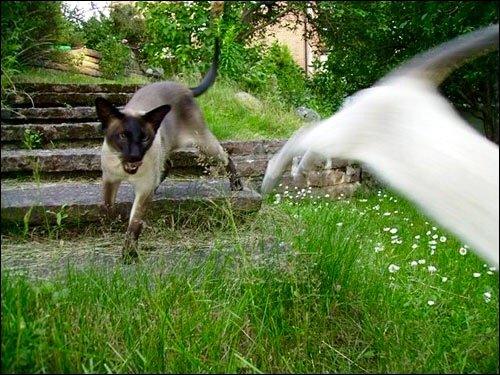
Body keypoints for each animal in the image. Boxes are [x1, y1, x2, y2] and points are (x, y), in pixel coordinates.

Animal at [96, 39, 243, 262]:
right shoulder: (110, 179)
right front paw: (115, 223)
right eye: (122, 136)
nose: (135, 156)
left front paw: (129, 256)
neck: (126, 171)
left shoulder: (143, 190)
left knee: (225, 156)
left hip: (203, 143)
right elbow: (108, 206)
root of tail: (184, 88)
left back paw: (236, 186)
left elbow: (134, 224)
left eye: (144, 138)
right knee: (169, 164)